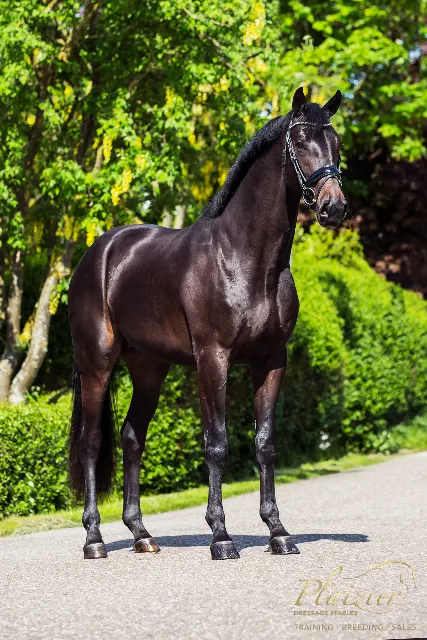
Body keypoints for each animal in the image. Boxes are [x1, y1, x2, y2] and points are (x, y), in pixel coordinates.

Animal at [68, 87, 347, 560]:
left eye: (336, 142)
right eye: (300, 141)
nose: (334, 207)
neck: (244, 258)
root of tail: (98, 254)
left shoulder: (272, 361)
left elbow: (265, 443)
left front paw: (278, 532)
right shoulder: (213, 359)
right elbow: (216, 443)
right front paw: (221, 536)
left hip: (149, 369)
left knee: (131, 437)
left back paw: (142, 535)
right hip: (97, 365)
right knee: (91, 443)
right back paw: (94, 540)